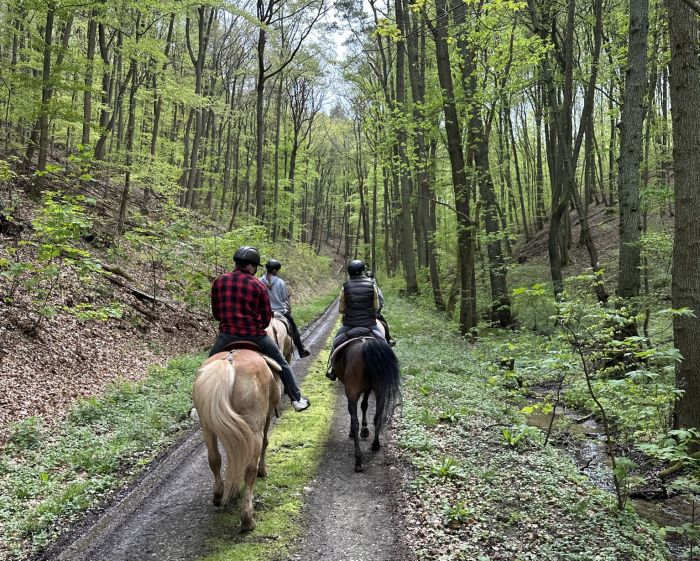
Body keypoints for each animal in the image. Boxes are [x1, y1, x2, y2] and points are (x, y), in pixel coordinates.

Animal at [191, 346, 282, 528]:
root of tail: (228, 361)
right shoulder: (266, 418)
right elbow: (266, 443)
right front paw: (263, 471)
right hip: (253, 428)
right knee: (250, 468)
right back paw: (247, 518)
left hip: (207, 427)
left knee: (214, 459)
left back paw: (219, 495)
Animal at [332, 334, 400, 470]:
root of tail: (366, 345)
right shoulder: (368, 388)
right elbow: (364, 405)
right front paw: (365, 430)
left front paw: (359, 431)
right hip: (380, 390)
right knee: (378, 417)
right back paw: (375, 444)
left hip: (352, 390)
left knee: (354, 421)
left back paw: (358, 459)